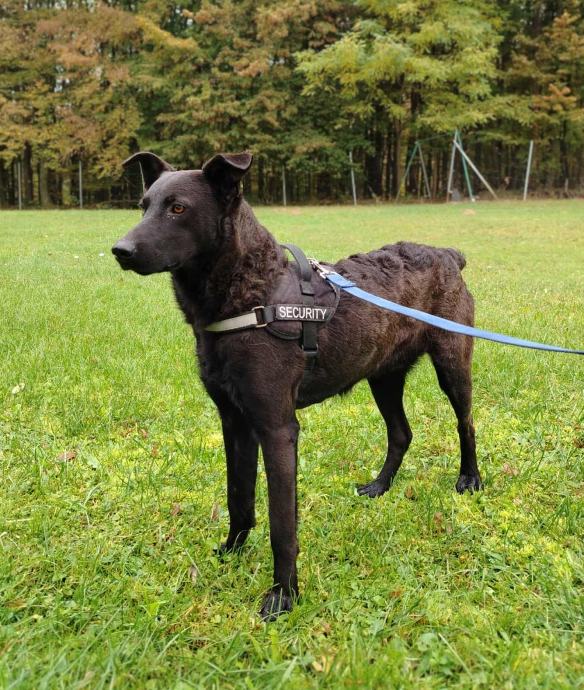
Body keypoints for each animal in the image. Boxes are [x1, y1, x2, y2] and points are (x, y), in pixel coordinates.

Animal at [112, 151, 481, 620]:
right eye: (143, 206)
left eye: (178, 208)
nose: (120, 250)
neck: (251, 295)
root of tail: (449, 255)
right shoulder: (234, 422)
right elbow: (239, 498)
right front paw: (233, 551)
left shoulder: (277, 428)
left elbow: (281, 524)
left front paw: (283, 595)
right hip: (382, 376)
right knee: (401, 433)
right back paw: (380, 486)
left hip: (452, 365)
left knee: (465, 423)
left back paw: (470, 479)